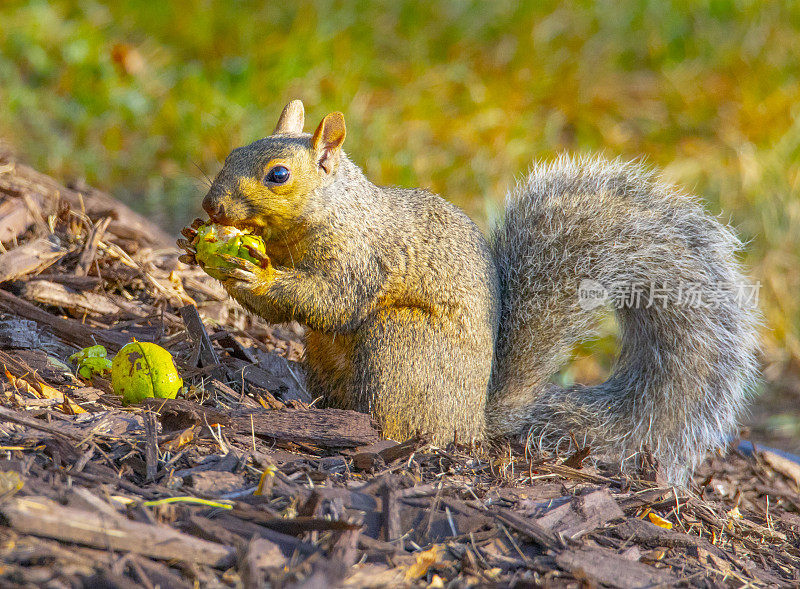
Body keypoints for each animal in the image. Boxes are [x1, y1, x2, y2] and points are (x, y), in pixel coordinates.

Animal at [178, 99, 760, 482]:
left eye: (278, 175)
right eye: (233, 151)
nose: (211, 207)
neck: (331, 213)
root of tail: (473, 422)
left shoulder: (361, 259)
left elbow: (329, 302)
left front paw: (251, 274)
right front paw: (194, 247)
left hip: (402, 344)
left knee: (399, 420)